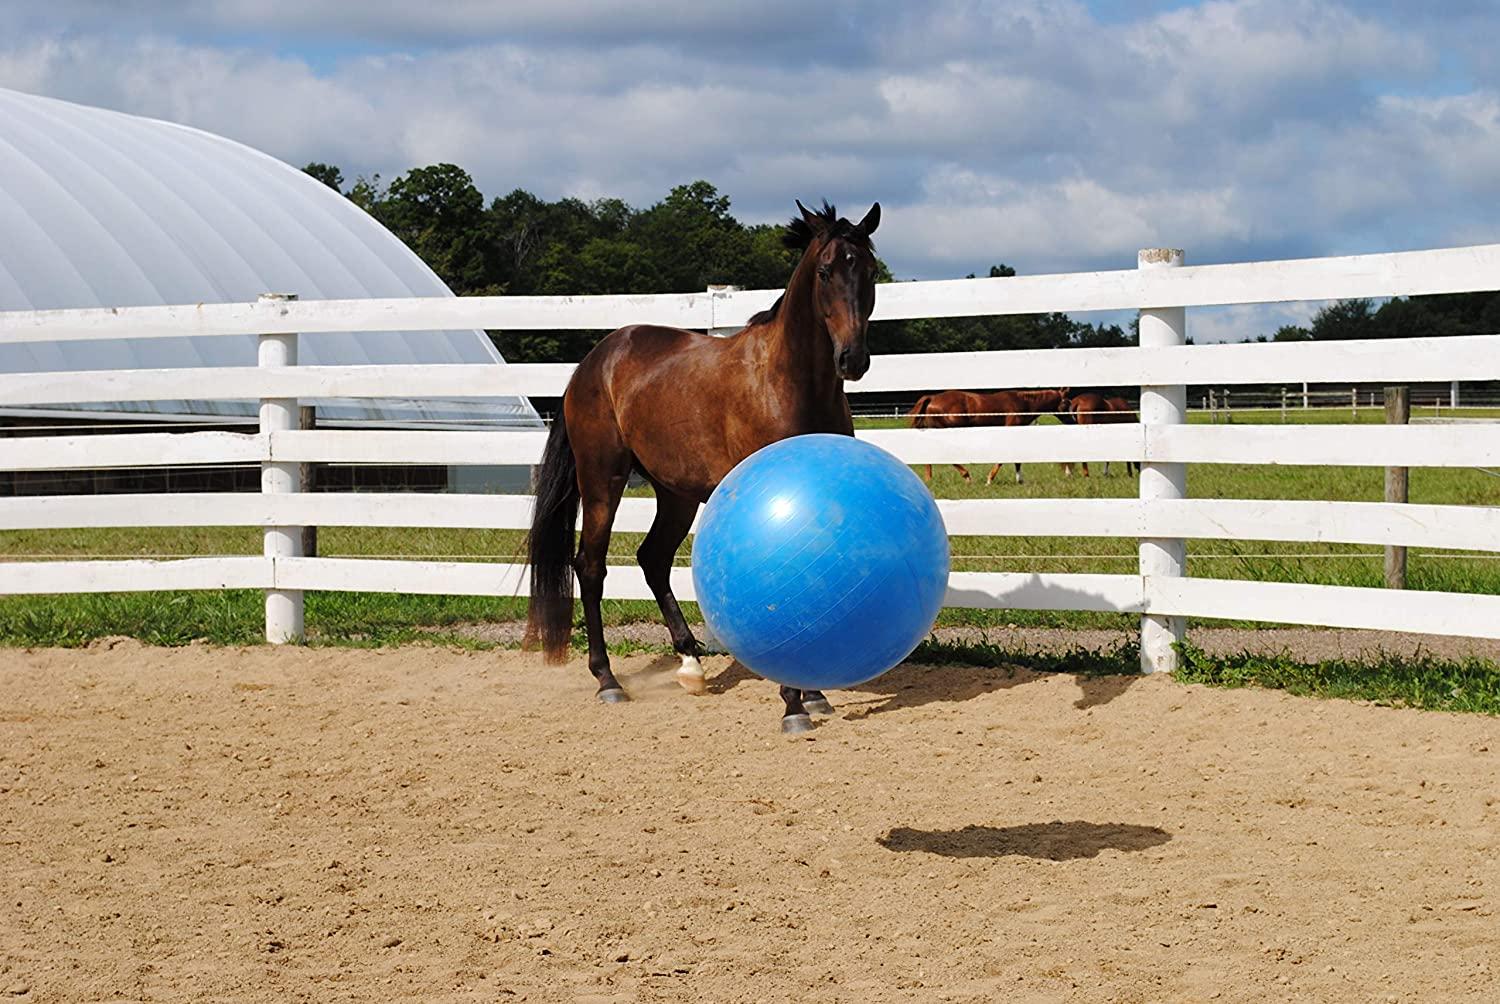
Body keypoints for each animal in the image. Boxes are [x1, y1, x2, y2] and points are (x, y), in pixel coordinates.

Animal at [525, 199, 881, 734]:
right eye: (824, 272)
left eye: (871, 271)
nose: (851, 359)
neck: (787, 381)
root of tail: (592, 363)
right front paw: (793, 705)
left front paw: (813, 694)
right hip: (603, 480)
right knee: (590, 565)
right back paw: (608, 680)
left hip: (676, 493)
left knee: (652, 559)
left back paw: (690, 664)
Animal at [906, 388, 1071, 485]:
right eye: (1067, 403)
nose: (1072, 420)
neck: (1022, 404)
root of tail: (931, 398)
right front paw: (989, 480)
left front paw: (1020, 480)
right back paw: (966, 476)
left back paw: (929, 479)